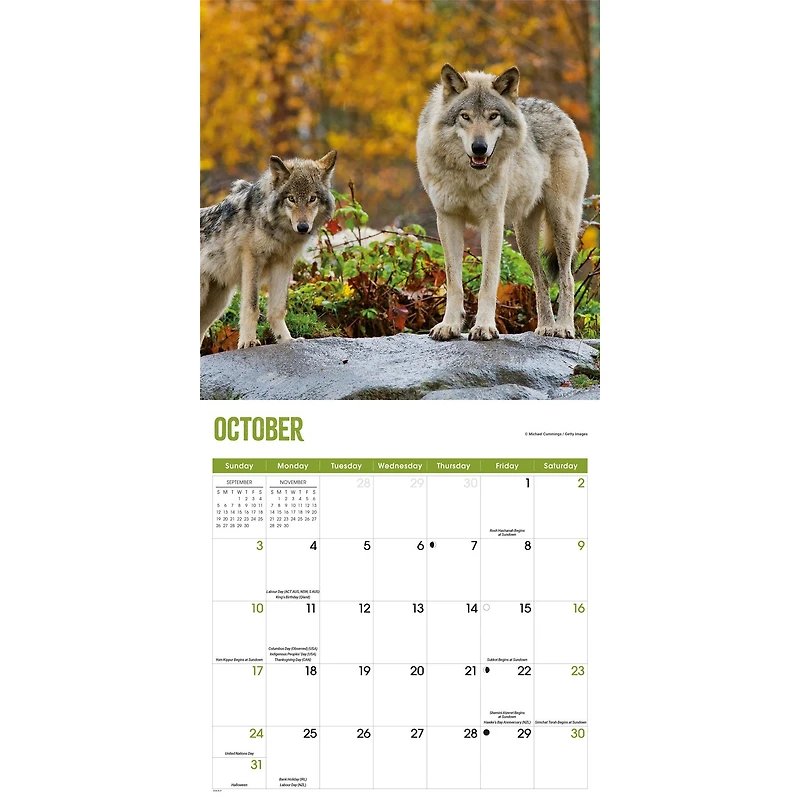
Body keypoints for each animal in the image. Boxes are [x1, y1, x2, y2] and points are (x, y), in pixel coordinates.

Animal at [200, 151, 337, 347]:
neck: (280, 232)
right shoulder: (252, 258)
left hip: (217, 304)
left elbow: (278, 309)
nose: (302, 227)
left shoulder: (283, 263)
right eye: (291, 198)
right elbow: (252, 307)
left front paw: (286, 339)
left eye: (312, 198)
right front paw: (248, 341)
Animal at [416, 64, 589, 340]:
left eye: (493, 116)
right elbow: (454, 281)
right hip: (524, 238)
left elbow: (488, 281)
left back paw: (563, 327)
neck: (468, 176)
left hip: (561, 223)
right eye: (465, 116)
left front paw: (484, 327)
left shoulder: (493, 220)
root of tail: (559, 110)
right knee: (541, 279)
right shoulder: (447, 219)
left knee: (567, 277)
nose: (479, 147)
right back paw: (545, 327)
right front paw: (450, 326)